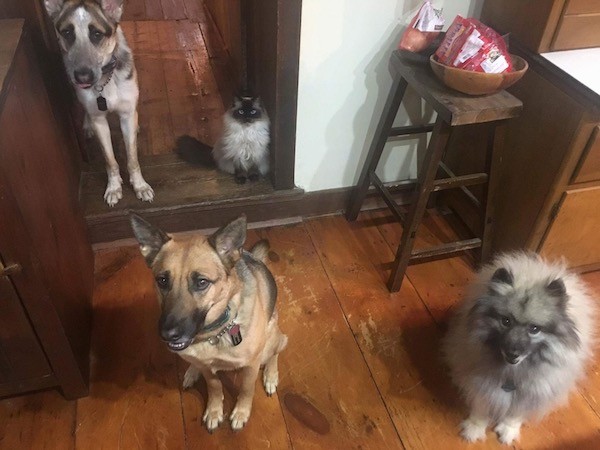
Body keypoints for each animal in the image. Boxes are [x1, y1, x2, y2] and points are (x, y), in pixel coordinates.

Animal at [442, 251, 596, 444]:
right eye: (506, 321)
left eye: (534, 329)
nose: (513, 353)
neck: (513, 372)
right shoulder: (481, 384)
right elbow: (482, 406)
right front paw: (474, 428)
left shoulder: (533, 391)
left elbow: (516, 413)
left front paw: (508, 430)